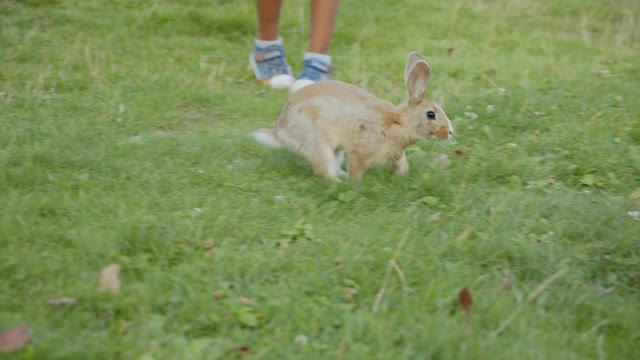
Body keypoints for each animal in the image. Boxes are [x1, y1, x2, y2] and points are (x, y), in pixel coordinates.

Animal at [252, 52, 452, 181]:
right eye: (431, 114)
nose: (450, 131)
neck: (398, 122)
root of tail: (280, 131)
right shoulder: (360, 151)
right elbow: (357, 168)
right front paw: (356, 184)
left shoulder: (397, 153)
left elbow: (401, 163)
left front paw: (401, 175)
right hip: (318, 142)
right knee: (324, 169)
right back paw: (340, 181)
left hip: (336, 151)